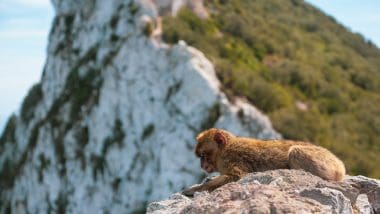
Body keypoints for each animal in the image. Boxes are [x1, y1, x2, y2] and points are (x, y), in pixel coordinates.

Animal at [183, 128, 346, 196]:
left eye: (203, 155)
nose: (201, 164)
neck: (225, 149)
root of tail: (340, 165)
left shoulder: (230, 159)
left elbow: (237, 176)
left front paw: (196, 189)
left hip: (325, 162)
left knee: (295, 152)